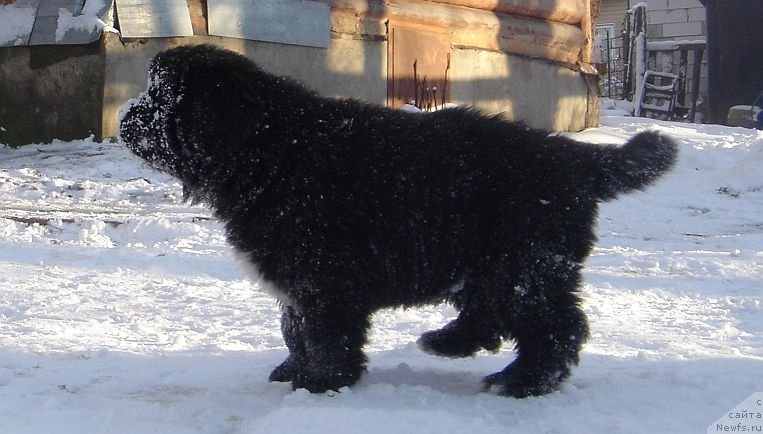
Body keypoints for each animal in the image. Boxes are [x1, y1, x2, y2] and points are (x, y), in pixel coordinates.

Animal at [121, 45, 680, 398]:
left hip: (522, 263)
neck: (273, 148)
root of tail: (573, 158)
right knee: (488, 313)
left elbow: (324, 331)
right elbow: (293, 325)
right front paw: (294, 369)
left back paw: (520, 382)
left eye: (159, 97)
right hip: (487, 261)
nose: (125, 119)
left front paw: (321, 382)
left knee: (555, 326)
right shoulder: (299, 278)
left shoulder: (326, 275)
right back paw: (448, 343)